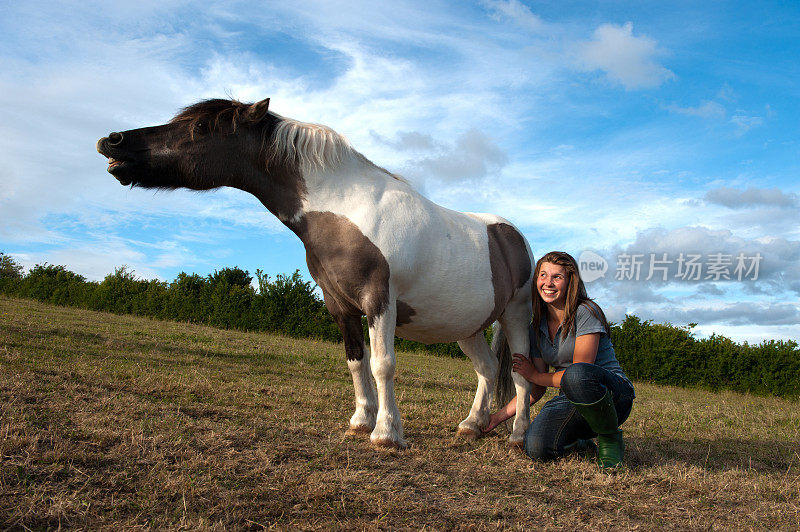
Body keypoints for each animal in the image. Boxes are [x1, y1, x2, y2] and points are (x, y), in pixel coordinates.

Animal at [100, 96, 536, 448]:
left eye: (202, 127)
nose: (113, 141)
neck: (346, 208)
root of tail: (514, 237)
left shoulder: (379, 300)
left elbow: (383, 364)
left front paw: (386, 434)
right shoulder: (339, 304)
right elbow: (356, 361)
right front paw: (360, 421)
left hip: (515, 314)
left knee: (520, 375)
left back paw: (517, 437)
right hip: (467, 326)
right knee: (486, 369)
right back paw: (471, 426)